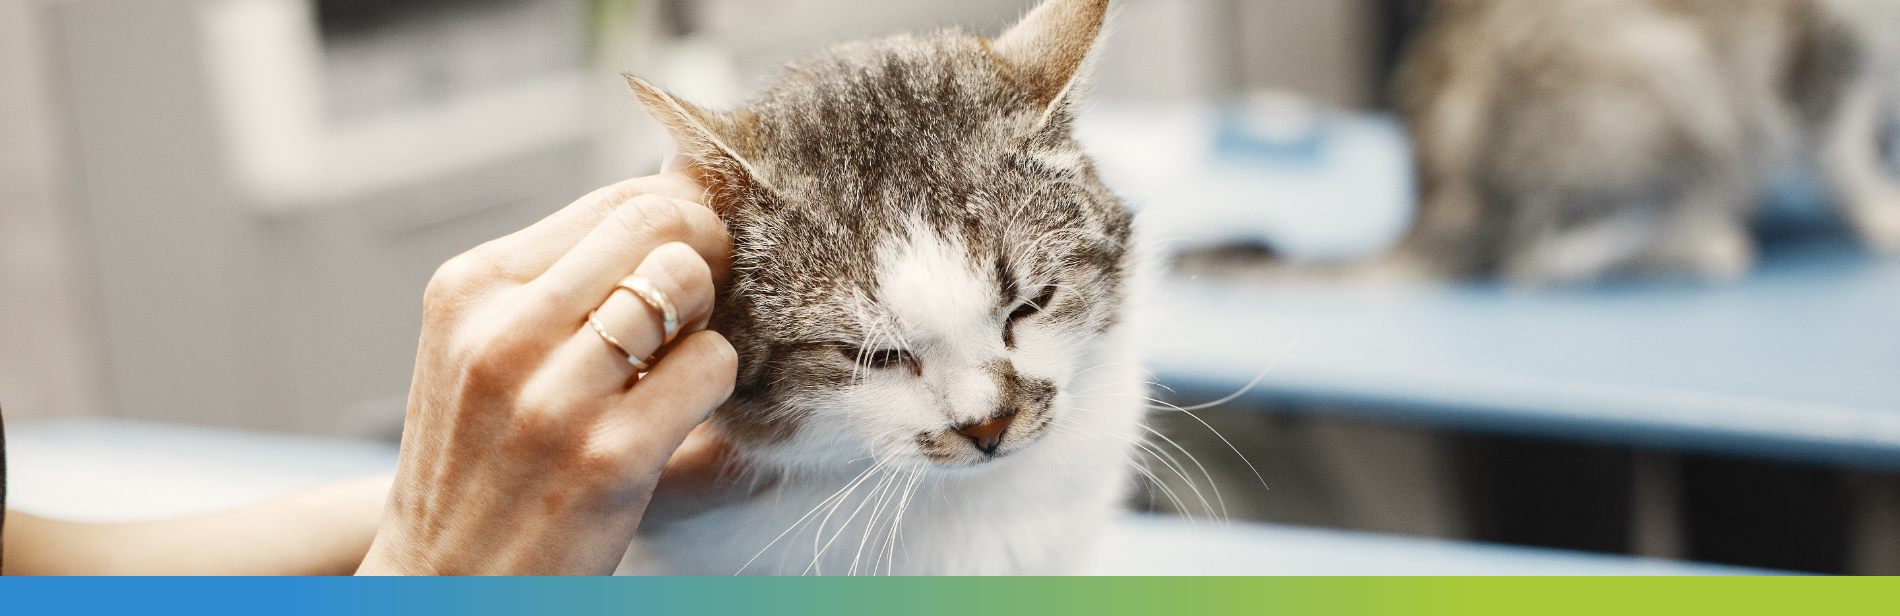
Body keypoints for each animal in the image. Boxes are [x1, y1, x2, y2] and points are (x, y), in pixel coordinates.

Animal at [1375, 0, 1900, 283]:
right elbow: (1845, 157)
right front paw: (1884, 211)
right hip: (1670, 75)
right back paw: (1705, 240)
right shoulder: (1815, 67)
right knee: (1538, 260)